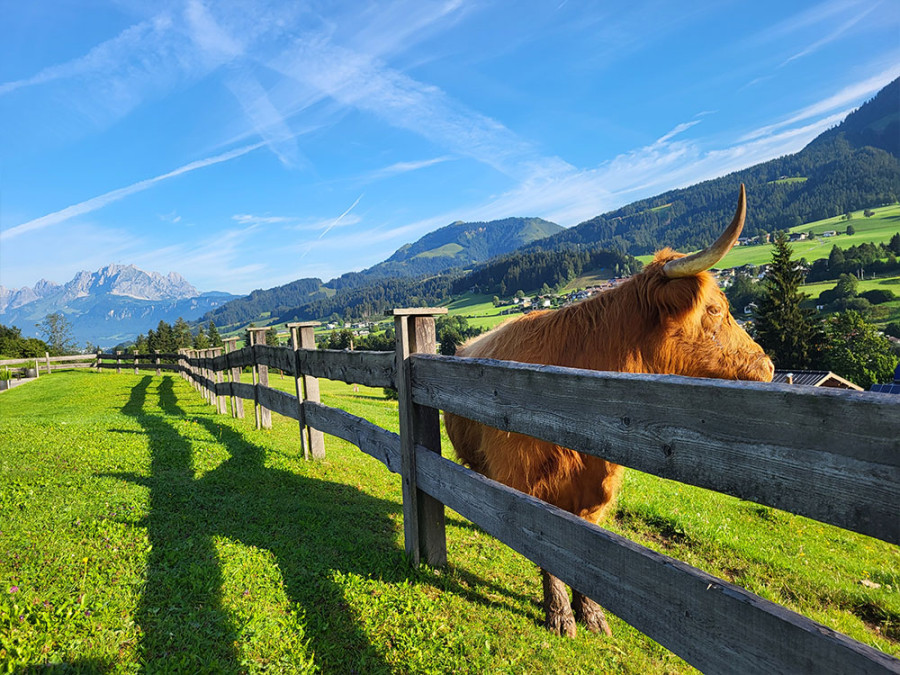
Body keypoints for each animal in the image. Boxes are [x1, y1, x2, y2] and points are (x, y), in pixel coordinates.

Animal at [442, 186, 772, 640]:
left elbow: (585, 549)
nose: (768, 366)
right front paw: (560, 614)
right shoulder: (526, 480)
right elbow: (547, 548)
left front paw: (592, 612)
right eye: (715, 310)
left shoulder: (598, 488)